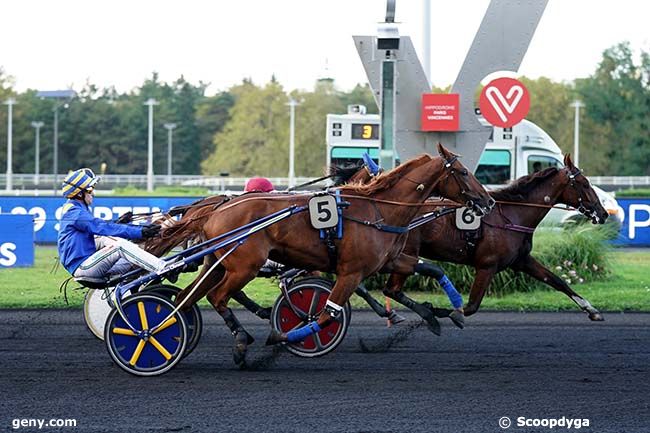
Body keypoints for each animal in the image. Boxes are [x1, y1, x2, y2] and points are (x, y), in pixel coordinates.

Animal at [163, 143, 492, 362]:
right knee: (217, 297)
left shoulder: (388, 260)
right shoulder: (351, 271)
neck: (378, 210)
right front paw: (283, 335)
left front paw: (448, 312)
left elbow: (433, 269)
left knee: (186, 298)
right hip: (245, 265)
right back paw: (240, 340)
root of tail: (215, 209)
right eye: (463, 172)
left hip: (216, 263)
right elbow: (327, 313)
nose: (487, 201)